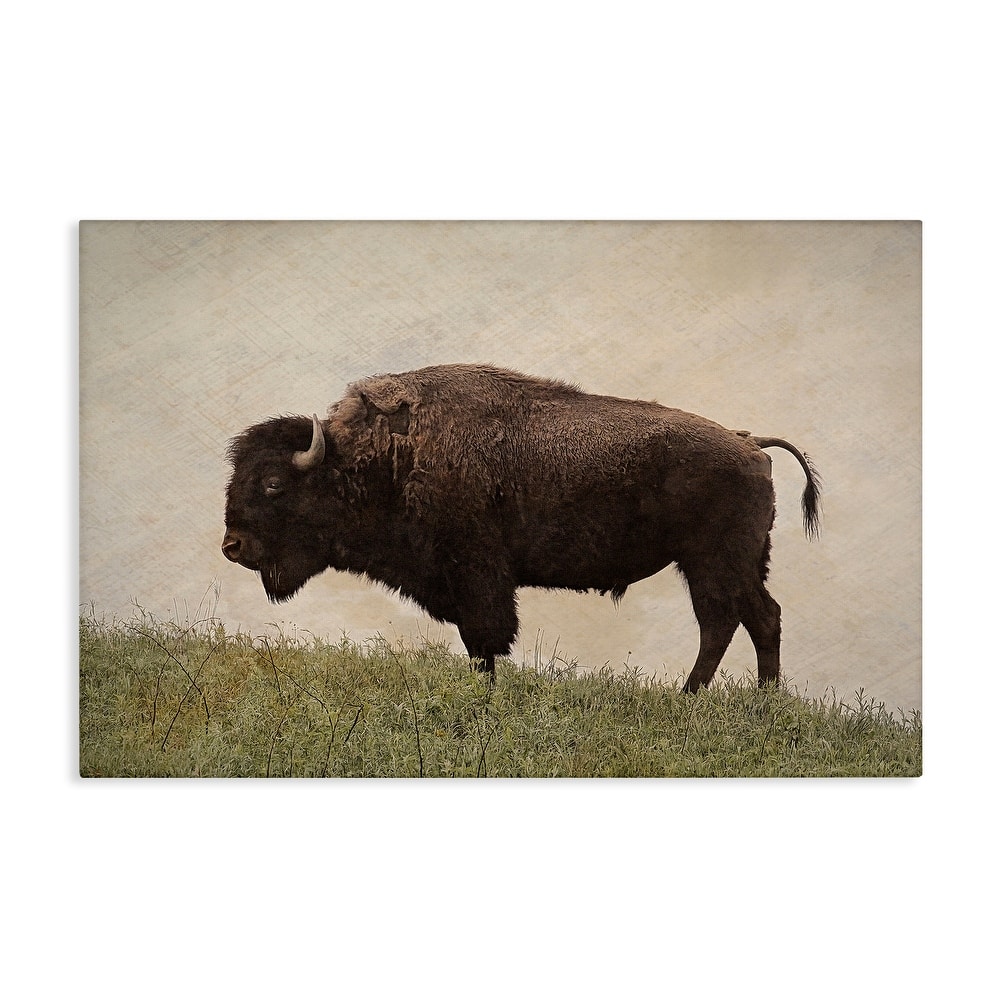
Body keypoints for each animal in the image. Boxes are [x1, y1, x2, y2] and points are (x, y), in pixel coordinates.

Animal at [223, 364, 820, 691]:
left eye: (273, 484)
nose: (233, 546)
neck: (385, 455)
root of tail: (749, 443)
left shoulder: (477, 576)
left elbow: (484, 641)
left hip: (717, 563)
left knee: (737, 621)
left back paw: (713, 700)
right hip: (722, 565)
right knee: (746, 620)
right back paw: (740, 702)